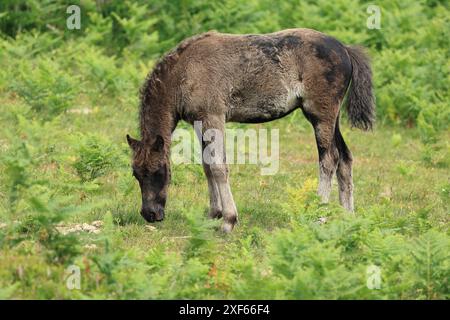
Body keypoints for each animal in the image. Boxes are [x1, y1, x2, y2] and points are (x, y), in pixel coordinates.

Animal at [125, 28, 372, 232]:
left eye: (158, 171)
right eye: (136, 173)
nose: (150, 214)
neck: (184, 71)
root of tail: (344, 49)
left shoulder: (213, 117)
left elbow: (218, 167)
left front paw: (228, 220)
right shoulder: (199, 122)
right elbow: (206, 165)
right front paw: (213, 215)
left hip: (320, 115)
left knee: (329, 159)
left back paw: (318, 215)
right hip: (333, 118)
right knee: (345, 158)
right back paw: (348, 217)